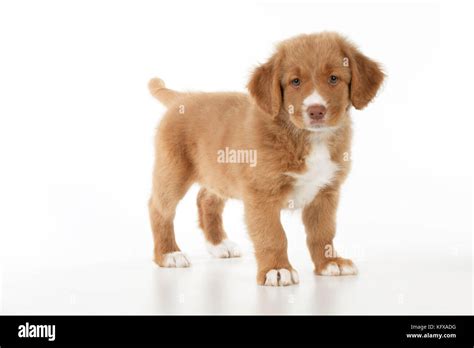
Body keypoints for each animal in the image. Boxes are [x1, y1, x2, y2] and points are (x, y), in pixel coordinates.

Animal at [148, 32, 386, 286]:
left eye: (333, 78)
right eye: (295, 82)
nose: (316, 111)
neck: (306, 137)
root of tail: (182, 98)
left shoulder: (325, 192)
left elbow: (323, 233)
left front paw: (329, 262)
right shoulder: (261, 194)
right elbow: (273, 235)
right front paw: (277, 268)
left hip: (218, 173)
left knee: (206, 200)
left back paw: (218, 244)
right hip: (173, 172)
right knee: (159, 208)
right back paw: (168, 253)